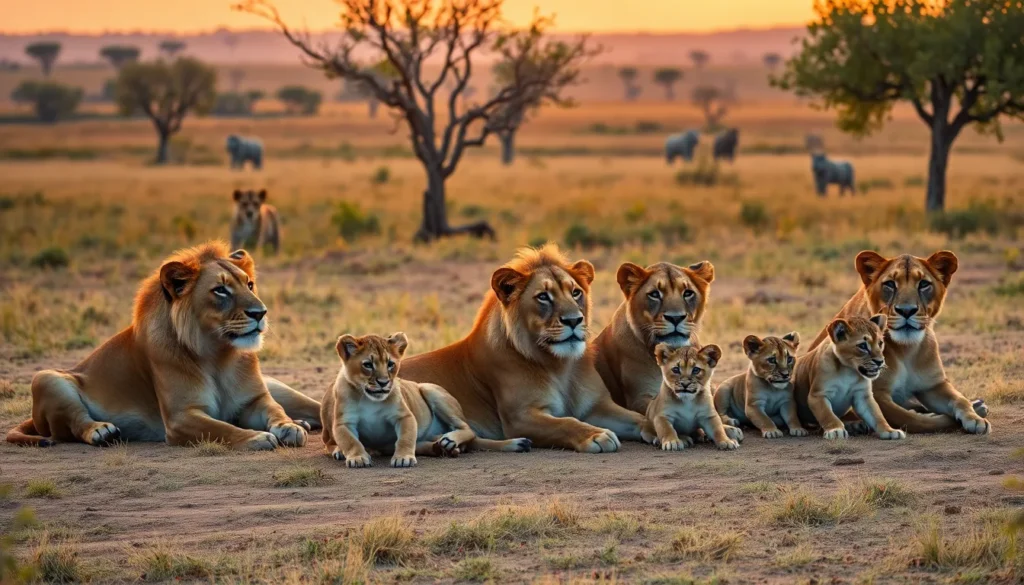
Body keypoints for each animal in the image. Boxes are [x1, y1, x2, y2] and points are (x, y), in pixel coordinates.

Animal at [5, 241, 322, 449]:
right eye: (220, 290)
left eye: (250, 284)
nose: (261, 313)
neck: (218, 354)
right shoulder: (181, 417)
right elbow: (221, 428)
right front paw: (255, 436)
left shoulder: (256, 399)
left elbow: (274, 410)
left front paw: (289, 427)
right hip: (46, 378)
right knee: (74, 423)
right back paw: (101, 431)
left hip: (279, 385)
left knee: (317, 406)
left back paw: (304, 422)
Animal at [322, 332, 531, 468]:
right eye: (367, 365)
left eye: (390, 364)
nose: (383, 382)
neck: (370, 399)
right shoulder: (343, 423)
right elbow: (350, 441)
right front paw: (357, 457)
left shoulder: (405, 416)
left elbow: (405, 438)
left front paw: (403, 458)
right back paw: (444, 447)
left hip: (430, 390)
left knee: (468, 430)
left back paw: (449, 441)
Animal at [399, 244, 646, 453]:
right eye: (543, 297)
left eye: (576, 292)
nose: (574, 320)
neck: (559, 366)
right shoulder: (520, 416)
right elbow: (566, 422)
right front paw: (596, 435)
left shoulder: (597, 406)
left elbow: (639, 417)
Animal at [806, 250, 990, 434]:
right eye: (890, 284)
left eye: (923, 284)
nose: (906, 310)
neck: (906, 349)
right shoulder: (877, 393)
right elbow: (912, 419)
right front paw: (943, 418)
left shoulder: (933, 385)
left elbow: (959, 400)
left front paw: (976, 419)